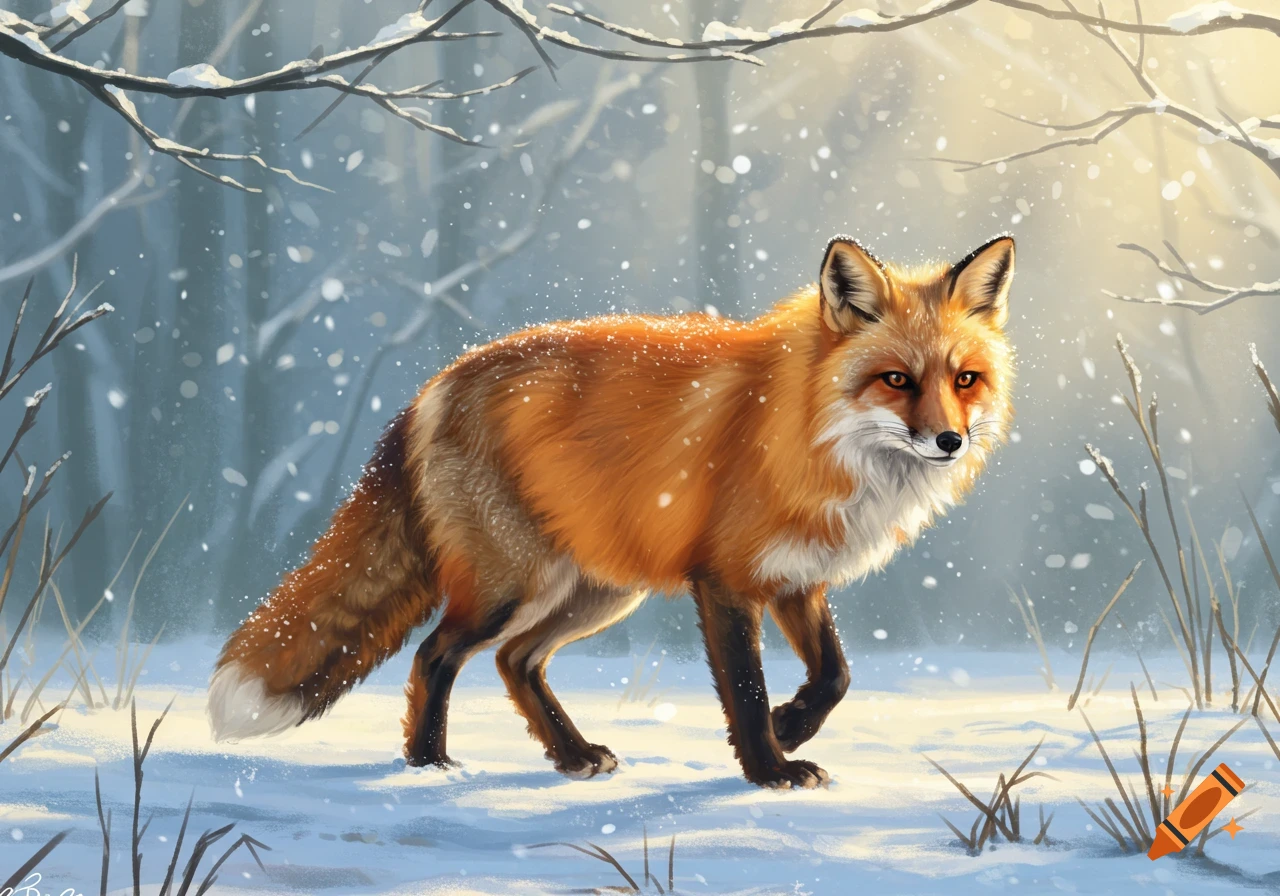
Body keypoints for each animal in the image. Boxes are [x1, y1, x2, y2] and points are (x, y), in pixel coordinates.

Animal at [207, 234, 1016, 789]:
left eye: (965, 379)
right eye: (896, 380)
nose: (949, 440)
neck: (807, 428)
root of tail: (436, 383)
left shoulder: (795, 577)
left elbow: (836, 676)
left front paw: (792, 728)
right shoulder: (725, 580)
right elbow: (747, 690)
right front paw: (769, 768)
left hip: (596, 591)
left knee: (514, 661)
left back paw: (569, 755)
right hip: (513, 588)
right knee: (436, 655)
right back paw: (429, 762)